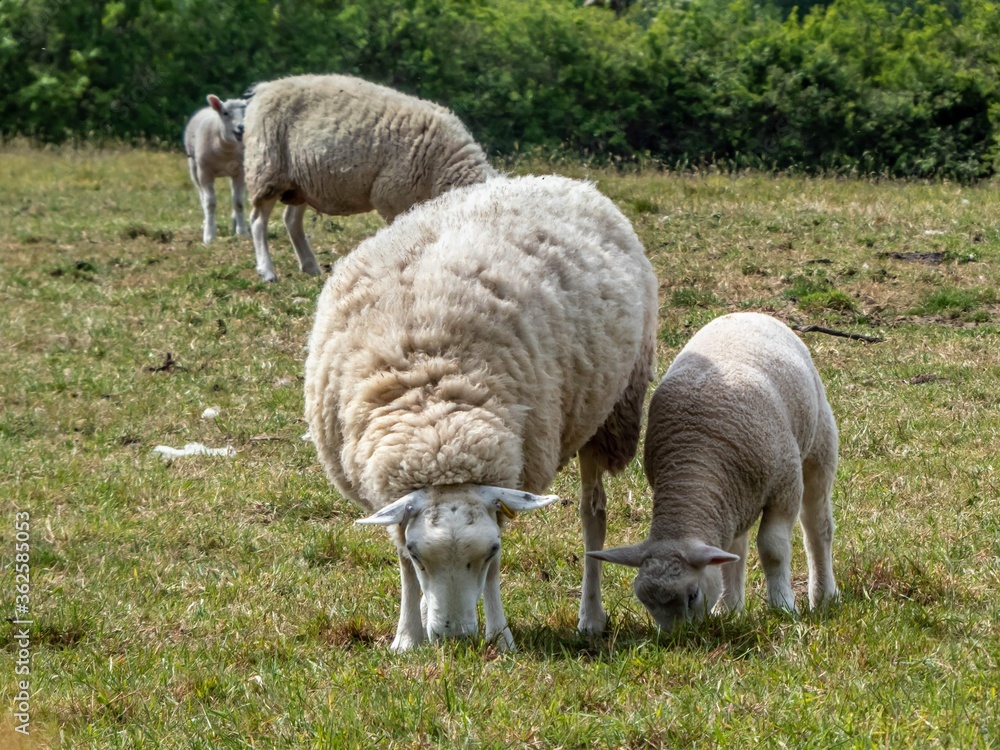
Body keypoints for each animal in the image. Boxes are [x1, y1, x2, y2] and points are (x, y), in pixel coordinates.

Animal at [183, 95, 249, 244]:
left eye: (246, 112)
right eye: (225, 113)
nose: (242, 127)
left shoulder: (240, 172)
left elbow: (239, 202)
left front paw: (242, 232)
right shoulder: (204, 172)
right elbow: (210, 203)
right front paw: (209, 235)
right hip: (194, 168)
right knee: (202, 197)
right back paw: (207, 222)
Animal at [243, 73, 497, 282]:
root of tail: (265, 88)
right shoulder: (392, 198)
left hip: (302, 180)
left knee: (291, 220)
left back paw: (310, 266)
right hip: (267, 166)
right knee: (258, 220)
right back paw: (267, 270)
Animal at [303, 174, 659, 651]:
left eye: (489, 551)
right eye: (418, 553)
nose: (454, 638)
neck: (440, 429)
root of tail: (562, 180)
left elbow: (492, 575)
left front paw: (500, 635)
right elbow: (403, 565)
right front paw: (409, 634)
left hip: (608, 413)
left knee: (593, 513)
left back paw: (591, 616)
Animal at [590, 312, 839, 630]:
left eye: (692, 595)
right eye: (645, 601)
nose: (675, 638)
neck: (696, 460)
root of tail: (749, 313)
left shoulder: (785, 487)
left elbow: (773, 549)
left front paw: (783, 606)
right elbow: (727, 558)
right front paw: (728, 609)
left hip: (819, 445)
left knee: (818, 525)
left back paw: (824, 595)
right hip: (736, 499)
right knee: (736, 547)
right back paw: (730, 606)